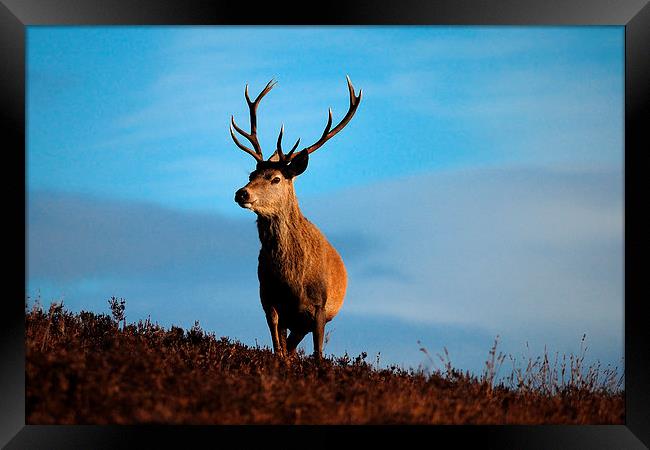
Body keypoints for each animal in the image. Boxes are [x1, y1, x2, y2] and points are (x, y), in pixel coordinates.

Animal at [228, 75, 360, 360]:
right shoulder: (268, 300)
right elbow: (278, 351)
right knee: (288, 348)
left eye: (276, 178)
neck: (292, 280)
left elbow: (318, 354)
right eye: (251, 175)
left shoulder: (319, 307)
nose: (241, 193)